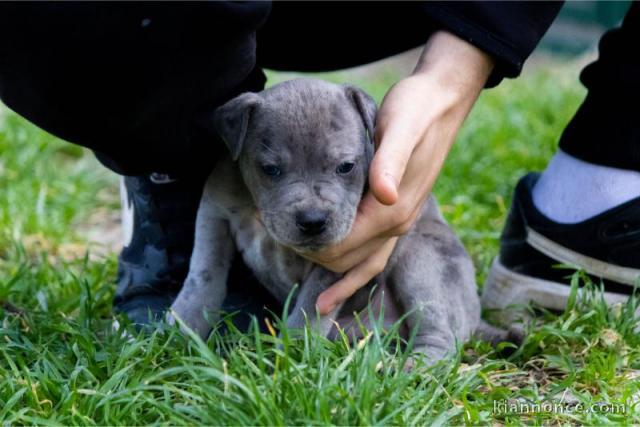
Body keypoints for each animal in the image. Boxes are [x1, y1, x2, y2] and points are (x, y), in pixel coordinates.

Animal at [168, 79, 482, 362]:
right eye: (270, 169)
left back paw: (411, 370)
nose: (313, 221)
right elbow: (204, 272)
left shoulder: (342, 258)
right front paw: (183, 325)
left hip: (424, 262)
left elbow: (310, 305)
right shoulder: (214, 213)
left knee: (440, 336)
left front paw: (291, 356)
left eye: (346, 167)